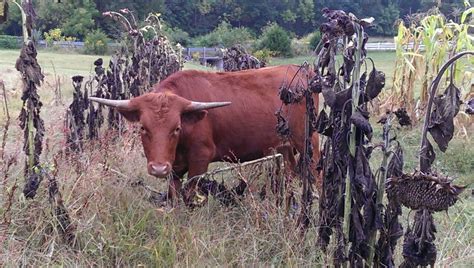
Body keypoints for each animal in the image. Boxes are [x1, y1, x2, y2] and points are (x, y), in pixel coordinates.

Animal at [89, 64, 318, 203]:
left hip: (307, 140)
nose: (158, 168)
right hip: (285, 146)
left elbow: (189, 195)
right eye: (143, 127)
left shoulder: (200, 159)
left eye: (177, 128)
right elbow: (174, 195)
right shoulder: (174, 168)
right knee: (291, 173)